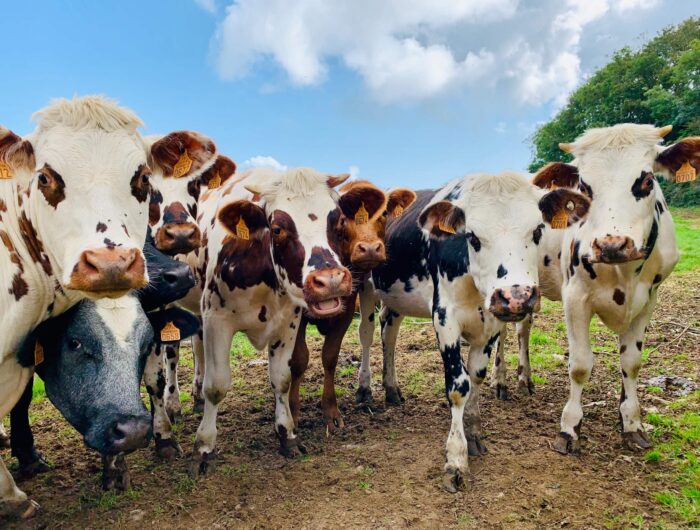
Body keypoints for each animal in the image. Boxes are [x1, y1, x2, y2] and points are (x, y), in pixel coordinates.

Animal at [288, 181, 416, 433]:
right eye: (342, 218)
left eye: (384, 214)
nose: (370, 248)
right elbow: (299, 359)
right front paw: (293, 414)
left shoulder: (348, 308)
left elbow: (330, 356)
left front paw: (331, 412)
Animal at [356, 172, 589, 491]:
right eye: (473, 236)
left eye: (537, 232)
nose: (516, 296)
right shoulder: (444, 318)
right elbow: (458, 386)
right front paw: (456, 458)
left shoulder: (491, 325)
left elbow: (476, 376)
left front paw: (474, 432)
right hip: (366, 286)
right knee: (366, 334)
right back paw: (365, 388)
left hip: (395, 298)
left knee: (389, 331)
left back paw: (391, 388)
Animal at [529, 124, 684, 455]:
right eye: (583, 187)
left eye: (647, 180)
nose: (612, 244)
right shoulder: (574, 298)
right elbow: (580, 365)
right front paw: (569, 428)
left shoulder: (649, 299)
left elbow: (631, 363)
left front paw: (631, 423)